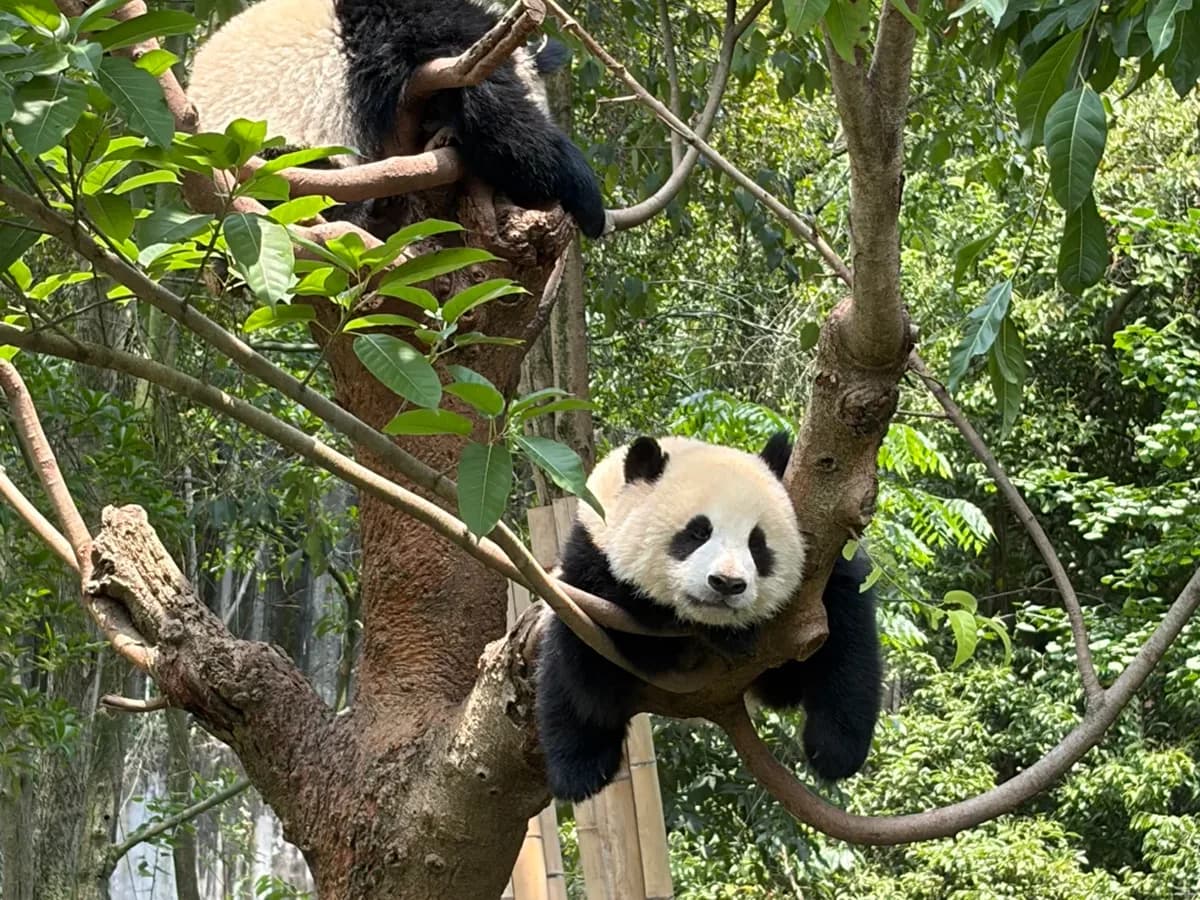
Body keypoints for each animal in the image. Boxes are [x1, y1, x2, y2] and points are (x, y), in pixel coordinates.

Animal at [535, 432, 883, 802]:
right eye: (698, 533)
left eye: (757, 544)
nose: (726, 583)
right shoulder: (590, 559)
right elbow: (616, 645)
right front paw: (725, 634)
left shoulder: (825, 580)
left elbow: (846, 639)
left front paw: (835, 751)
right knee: (566, 685)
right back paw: (580, 771)